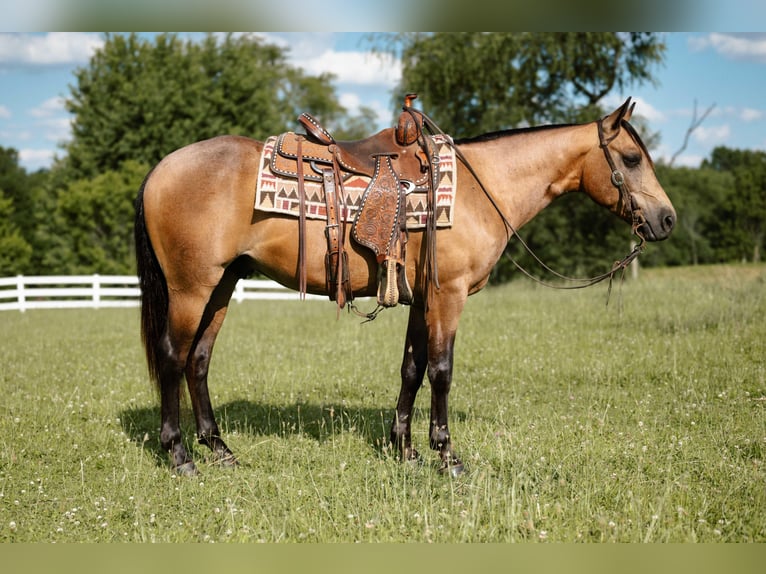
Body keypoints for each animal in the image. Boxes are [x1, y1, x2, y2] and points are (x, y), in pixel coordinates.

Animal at [134, 98, 676, 476]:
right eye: (631, 158)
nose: (667, 219)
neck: (480, 190)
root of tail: (161, 167)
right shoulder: (448, 296)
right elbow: (441, 371)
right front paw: (446, 455)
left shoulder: (422, 299)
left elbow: (411, 369)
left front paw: (405, 449)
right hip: (191, 288)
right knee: (173, 357)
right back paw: (180, 455)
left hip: (222, 285)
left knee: (199, 361)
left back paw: (220, 449)